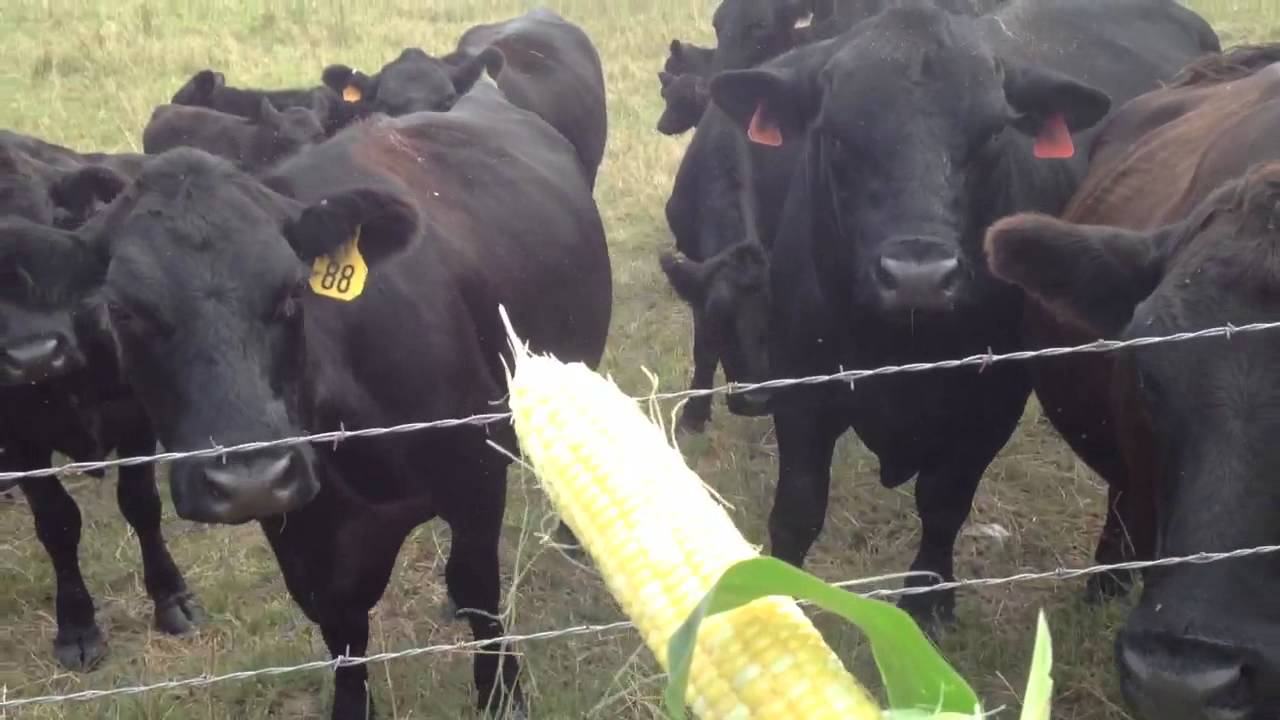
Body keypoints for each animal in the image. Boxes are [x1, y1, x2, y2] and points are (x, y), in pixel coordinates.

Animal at [0, 149, 201, 671]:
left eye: (56, 224)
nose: (34, 356)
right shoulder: (22, 436)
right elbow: (57, 522)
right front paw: (76, 627)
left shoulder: (134, 416)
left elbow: (141, 503)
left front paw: (171, 598)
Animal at [704, 0, 1218, 625]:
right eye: (835, 135)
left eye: (994, 131)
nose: (918, 276)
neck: (896, 348)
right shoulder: (803, 389)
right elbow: (798, 509)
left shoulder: (991, 400)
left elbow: (943, 501)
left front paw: (926, 602)